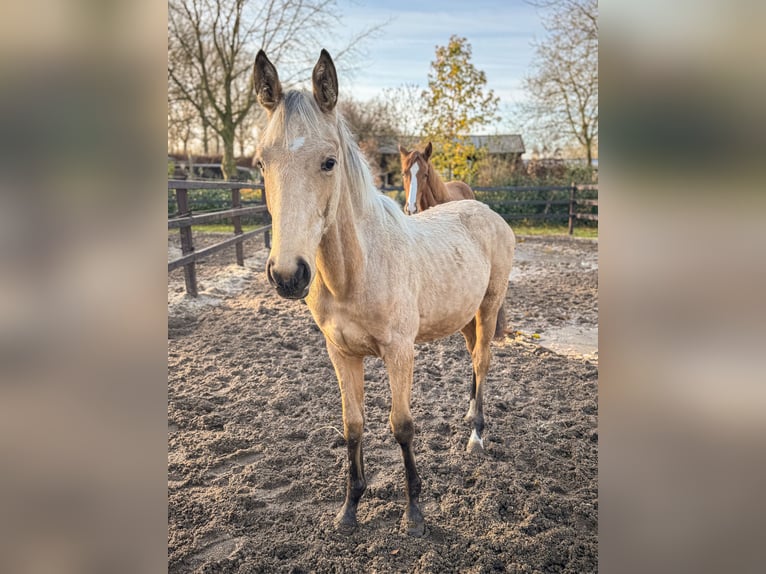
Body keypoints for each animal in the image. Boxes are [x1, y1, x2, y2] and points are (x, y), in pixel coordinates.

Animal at [254, 49, 516, 540]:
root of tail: (486, 209)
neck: (356, 272)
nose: (288, 275)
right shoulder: (341, 353)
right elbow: (353, 426)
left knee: (482, 362)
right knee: (473, 360)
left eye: (329, 161)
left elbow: (402, 426)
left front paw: (414, 513)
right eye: (261, 162)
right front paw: (349, 509)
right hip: (466, 317)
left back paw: (476, 436)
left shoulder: (399, 352)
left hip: (489, 309)